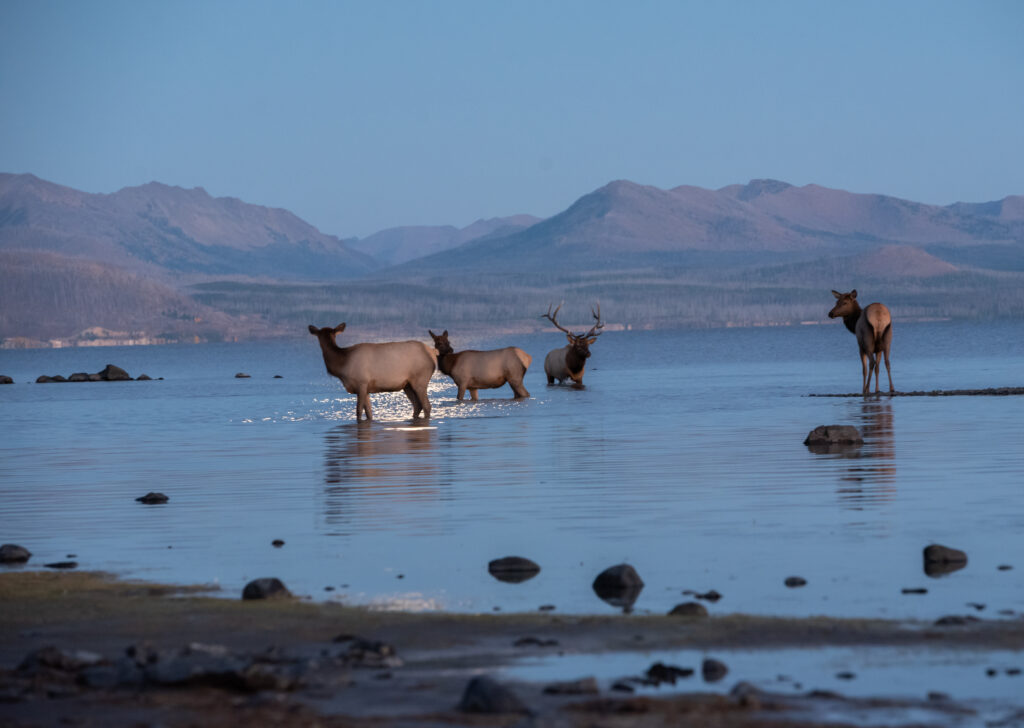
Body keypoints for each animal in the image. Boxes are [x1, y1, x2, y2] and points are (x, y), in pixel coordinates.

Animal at [303, 325, 432, 421]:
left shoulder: (362, 383)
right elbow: (369, 413)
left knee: (426, 406)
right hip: (407, 385)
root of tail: (432, 353)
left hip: (420, 379)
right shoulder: (366, 389)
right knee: (417, 405)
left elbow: (358, 411)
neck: (343, 366)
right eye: (320, 336)